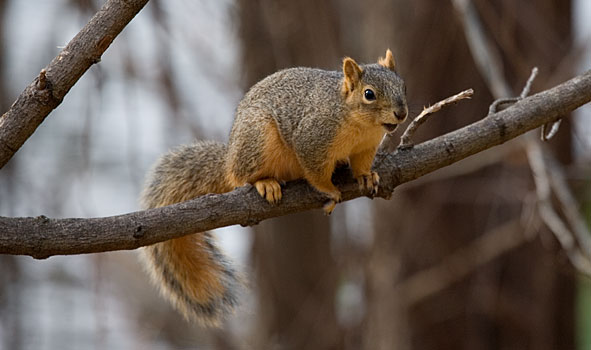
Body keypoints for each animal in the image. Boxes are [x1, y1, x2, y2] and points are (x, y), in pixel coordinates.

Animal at [140, 49, 408, 326]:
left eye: (403, 86)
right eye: (369, 94)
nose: (401, 113)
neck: (359, 123)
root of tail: (230, 157)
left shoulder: (366, 148)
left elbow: (362, 164)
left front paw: (366, 176)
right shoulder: (312, 140)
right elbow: (315, 172)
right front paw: (330, 191)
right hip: (258, 140)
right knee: (241, 177)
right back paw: (265, 183)